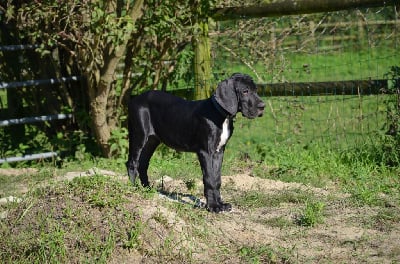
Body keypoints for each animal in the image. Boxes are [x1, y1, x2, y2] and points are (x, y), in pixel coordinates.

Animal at [126, 72, 266, 212]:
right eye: (245, 91)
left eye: (256, 90)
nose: (262, 106)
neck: (221, 115)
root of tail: (134, 99)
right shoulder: (205, 152)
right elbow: (209, 179)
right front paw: (213, 206)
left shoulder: (219, 151)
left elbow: (217, 179)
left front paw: (221, 204)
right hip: (139, 135)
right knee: (132, 163)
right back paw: (133, 189)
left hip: (152, 140)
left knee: (143, 163)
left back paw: (148, 189)